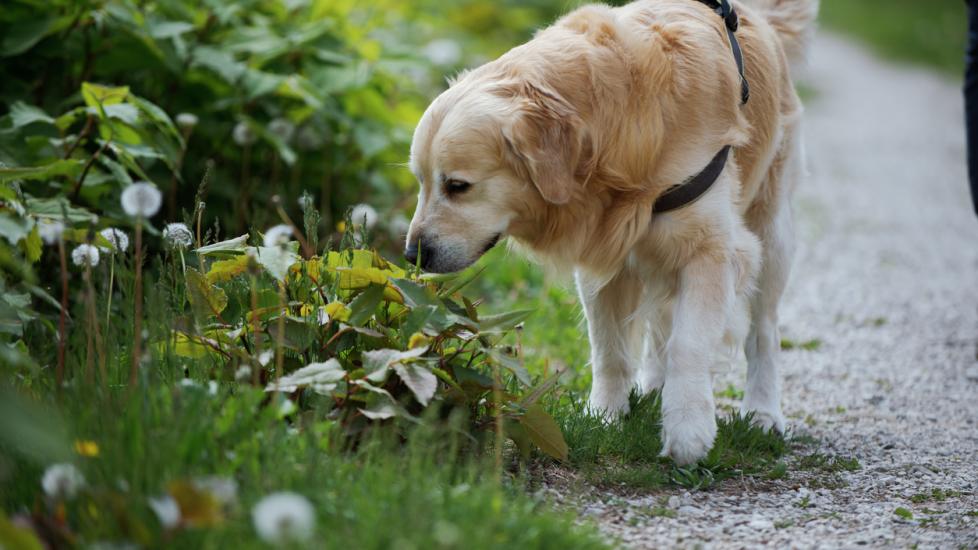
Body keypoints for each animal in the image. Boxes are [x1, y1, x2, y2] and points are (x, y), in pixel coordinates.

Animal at [402, 0, 816, 466]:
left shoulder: (711, 251)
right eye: (420, 181)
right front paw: (606, 416)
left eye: (457, 186)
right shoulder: (605, 255)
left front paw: (688, 430)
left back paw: (763, 411)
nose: (412, 254)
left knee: (763, 330)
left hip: (771, 233)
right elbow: (610, 350)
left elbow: (689, 343)